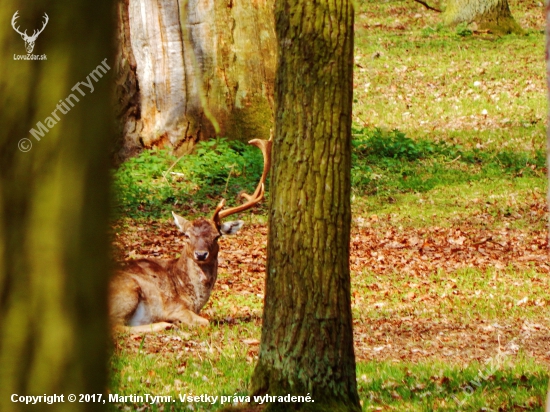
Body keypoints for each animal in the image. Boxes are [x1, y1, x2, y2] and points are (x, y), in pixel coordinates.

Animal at [109, 138, 272, 332]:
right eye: (187, 236)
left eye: (216, 236)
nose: (201, 254)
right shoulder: (173, 306)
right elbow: (205, 321)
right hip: (129, 288)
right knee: (117, 327)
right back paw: (165, 324)